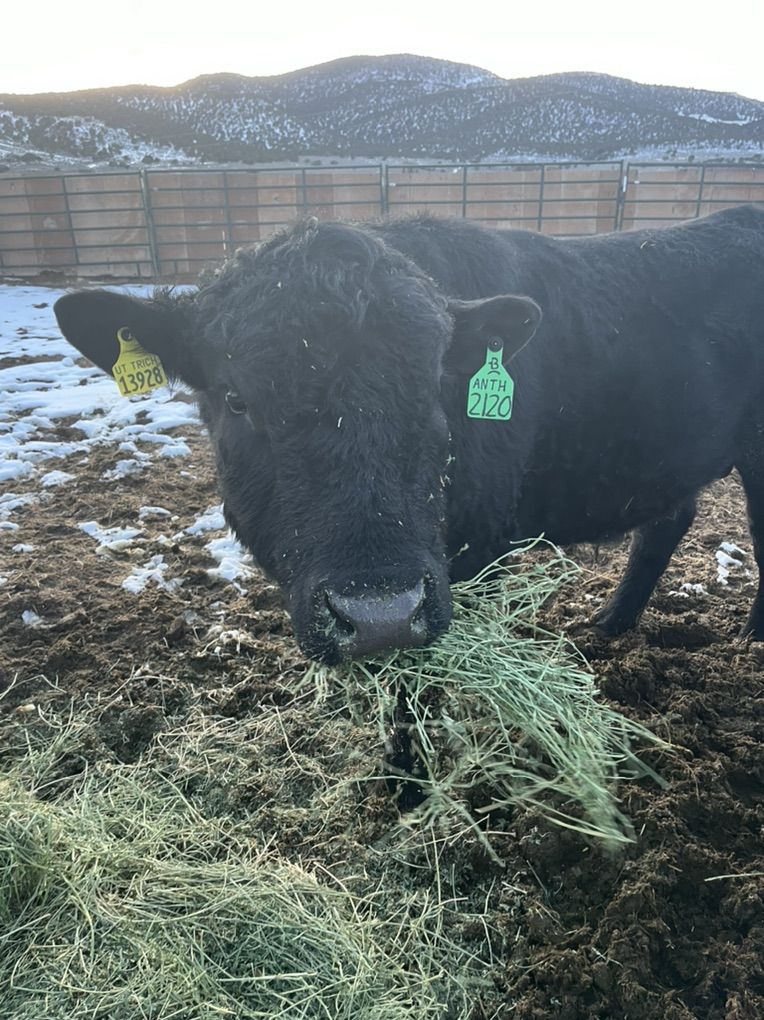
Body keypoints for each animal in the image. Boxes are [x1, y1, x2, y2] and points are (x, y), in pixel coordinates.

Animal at [53, 205, 764, 664]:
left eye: (433, 386)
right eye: (237, 399)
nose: (380, 615)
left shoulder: (481, 553)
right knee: (667, 523)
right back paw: (610, 624)